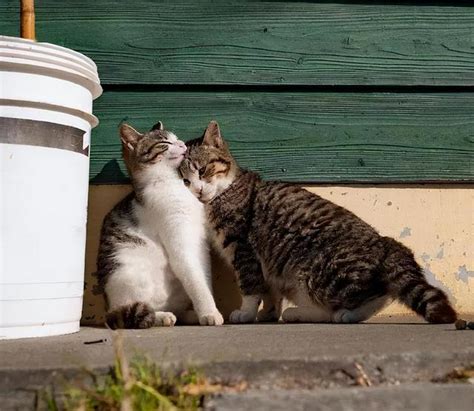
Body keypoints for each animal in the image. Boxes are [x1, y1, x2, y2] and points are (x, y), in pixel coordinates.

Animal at [96, 120, 224, 328]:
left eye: (176, 138)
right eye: (165, 142)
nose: (182, 144)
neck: (172, 183)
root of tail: (108, 307)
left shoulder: (200, 243)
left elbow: (204, 277)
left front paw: (206, 310)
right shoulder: (180, 243)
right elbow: (195, 278)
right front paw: (210, 313)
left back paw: (188, 315)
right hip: (129, 277)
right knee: (136, 312)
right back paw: (162, 316)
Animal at [179, 121, 460, 326]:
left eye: (203, 170)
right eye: (185, 181)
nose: (197, 191)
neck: (224, 191)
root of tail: (385, 245)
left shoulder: (243, 249)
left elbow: (251, 288)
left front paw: (246, 313)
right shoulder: (263, 263)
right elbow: (270, 291)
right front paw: (268, 313)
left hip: (315, 274)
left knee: (368, 299)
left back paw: (329, 314)